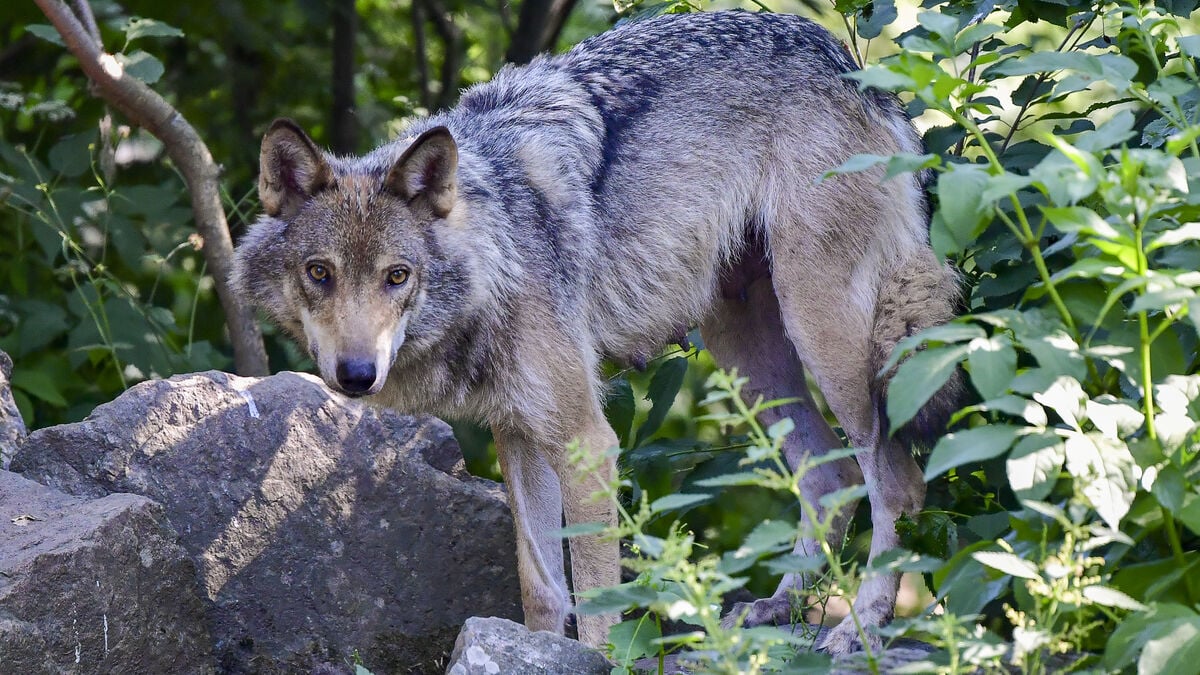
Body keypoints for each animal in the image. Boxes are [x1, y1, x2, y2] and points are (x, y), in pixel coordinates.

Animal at [230, 9, 960, 655]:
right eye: (319, 273)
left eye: (396, 276)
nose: (356, 375)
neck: (497, 249)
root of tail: (852, 67)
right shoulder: (519, 434)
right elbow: (542, 588)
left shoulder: (587, 441)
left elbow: (601, 600)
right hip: (746, 355)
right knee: (828, 474)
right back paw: (778, 606)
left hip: (826, 336)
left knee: (894, 481)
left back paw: (859, 627)